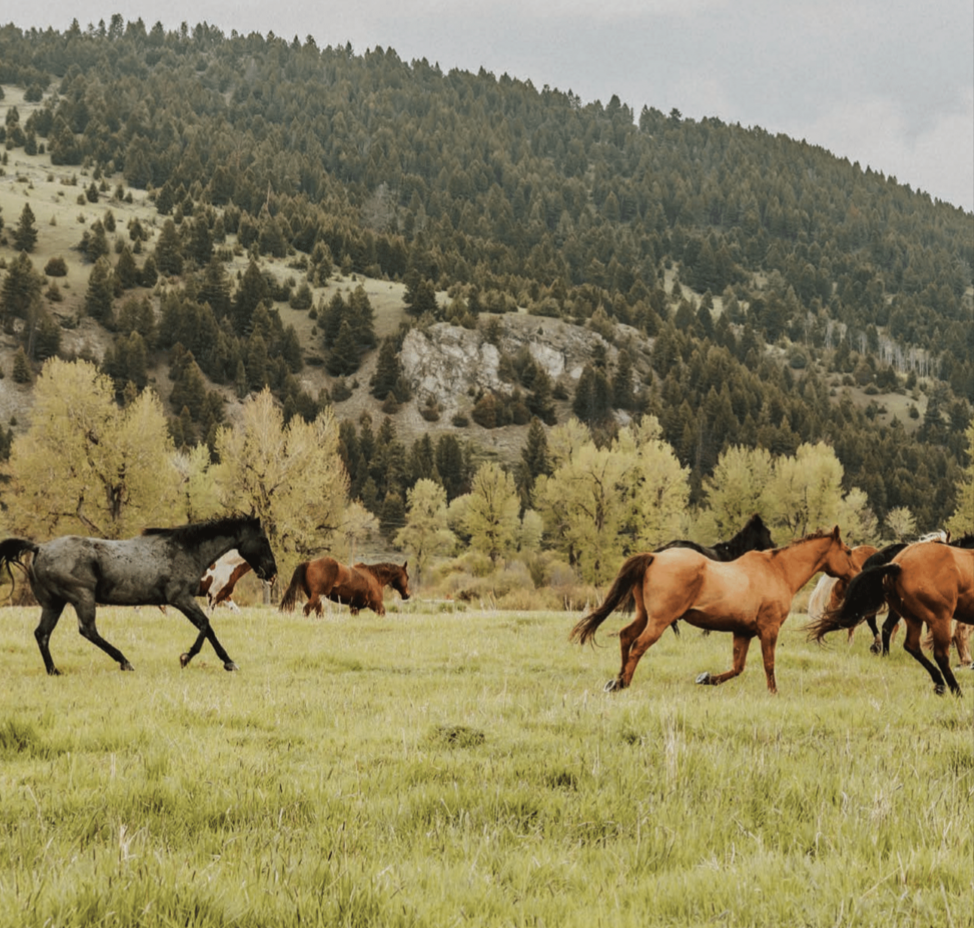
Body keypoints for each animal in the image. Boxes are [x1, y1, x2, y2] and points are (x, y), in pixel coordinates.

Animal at [0, 515, 277, 675]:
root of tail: (39, 548)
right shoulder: (181, 599)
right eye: (263, 539)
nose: (272, 572)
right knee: (87, 630)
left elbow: (207, 627)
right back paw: (124, 661)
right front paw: (188, 657)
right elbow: (205, 625)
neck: (186, 550)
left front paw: (226, 661)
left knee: (43, 634)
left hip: (54, 603)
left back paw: (53, 670)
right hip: (82, 597)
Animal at [279, 557, 410, 617]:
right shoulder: (376, 604)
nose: (407, 595)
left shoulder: (354, 607)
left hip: (316, 597)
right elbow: (382, 613)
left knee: (318, 612)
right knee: (306, 609)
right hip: (317, 596)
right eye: (407, 577)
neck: (375, 577)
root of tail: (309, 563)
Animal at [570, 527, 856, 695]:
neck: (778, 571)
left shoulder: (742, 632)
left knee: (626, 636)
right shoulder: (769, 628)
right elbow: (769, 663)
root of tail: (655, 556)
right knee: (638, 644)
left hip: (644, 616)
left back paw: (616, 680)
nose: (856, 575)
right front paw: (774, 692)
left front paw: (706, 678)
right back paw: (623, 683)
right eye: (847, 551)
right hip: (659, 621)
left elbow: (736, 668)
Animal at [806, 535, 974, 695]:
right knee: (939, 654)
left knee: (909, 643)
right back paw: (956, 691)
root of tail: (898, 564)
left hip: (912, 617)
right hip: (938, 617)